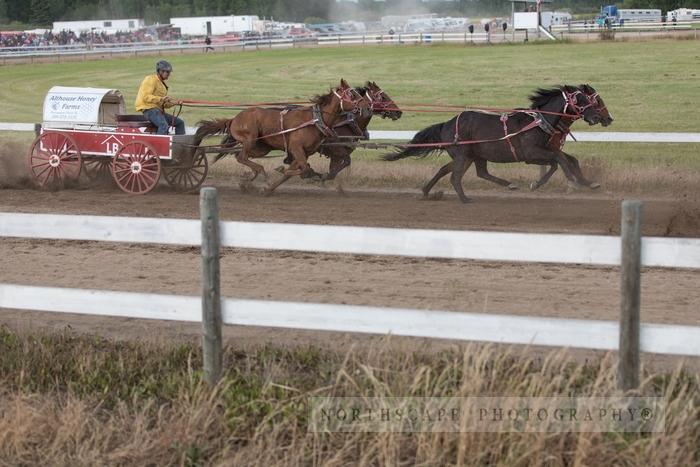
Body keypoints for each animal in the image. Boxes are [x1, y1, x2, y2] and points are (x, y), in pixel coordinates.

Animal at [194, 79, 370, 193]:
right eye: (352, 95)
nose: (367, 107)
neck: (315, 120)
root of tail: (234, 119)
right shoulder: (296, 148)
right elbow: (306, 170)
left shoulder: (305, 152)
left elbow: (299, 170)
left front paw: (269, 187)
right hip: (250, 137)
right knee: (242, 157)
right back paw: (261, 172)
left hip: (261, 147)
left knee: (240, 155)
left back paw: (250, 177)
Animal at [382, 85, 612, 202]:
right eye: (586, 100)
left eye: (594, 100)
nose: (605, 118)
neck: (540, 122)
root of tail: (446, 124)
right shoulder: (531, 153)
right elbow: (559, 159)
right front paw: (572, 181)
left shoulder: (546, 149)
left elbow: (567, 159)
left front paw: (588, 182)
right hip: (463, 154)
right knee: (456, 176)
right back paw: (465, 198)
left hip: (472, 155)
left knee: (459, 171)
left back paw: (427, 191)